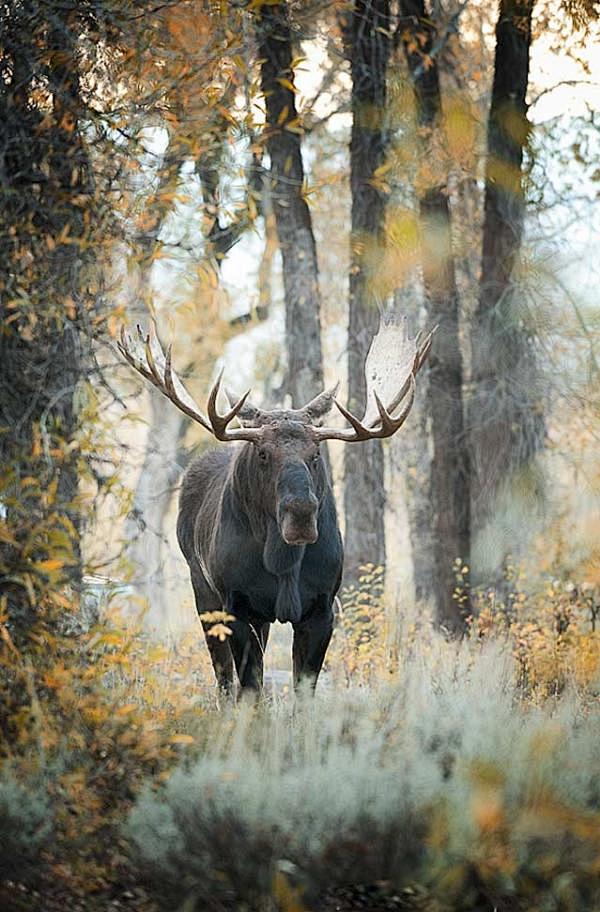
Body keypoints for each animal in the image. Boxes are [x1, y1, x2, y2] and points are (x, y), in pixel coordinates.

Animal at [119, 320, 434, 692]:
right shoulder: (238, 607)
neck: (283, 561)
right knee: (223, 678)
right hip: (203, 591)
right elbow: (249, 688)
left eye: (316, 453)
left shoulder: (321, 608)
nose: (301, 513)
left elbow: (304, 689)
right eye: (263, 453)